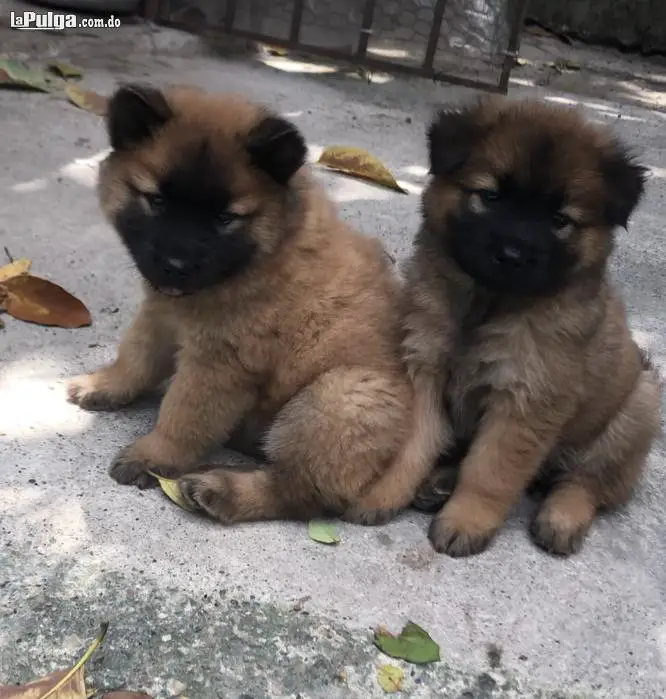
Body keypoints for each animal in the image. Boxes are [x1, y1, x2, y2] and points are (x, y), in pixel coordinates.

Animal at [65, 83, 416, 524]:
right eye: (157, 201)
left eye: (224, 219)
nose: (176, 265)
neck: (265, 253)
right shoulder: (160, 315)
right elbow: (135, 358)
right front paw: (105, 385)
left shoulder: (221, 363)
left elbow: (183, 414)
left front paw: (153, 455)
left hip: (336, 399)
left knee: (298, 493)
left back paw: (221, 490)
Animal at [370, 97, 660, 556]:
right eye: (490, 197)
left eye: (559, 219)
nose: (512, 254)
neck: (488, 304)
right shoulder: (425, 367)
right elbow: (415, 442)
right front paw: (386, 491)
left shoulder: (526, 397)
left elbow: (491, 470)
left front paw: (466, 519)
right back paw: (438, 483)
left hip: (637, 409)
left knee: (588, 483)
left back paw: (561, 517)